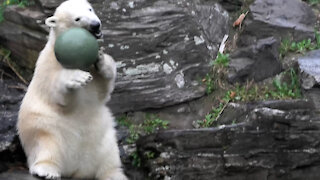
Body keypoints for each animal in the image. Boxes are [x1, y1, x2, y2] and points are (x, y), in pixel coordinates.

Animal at [16, 0, 126, 179]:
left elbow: (103, 90)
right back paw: (46, 170)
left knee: (109, 158)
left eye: (90, 9)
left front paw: (102, 60)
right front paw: (77, 78)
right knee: (47, 147)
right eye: (77, 19)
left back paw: (114, 175)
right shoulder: (47, 66)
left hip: (104, 138)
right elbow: (60, 96)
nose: (96, 25)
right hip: (45, 130)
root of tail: (77, 170)